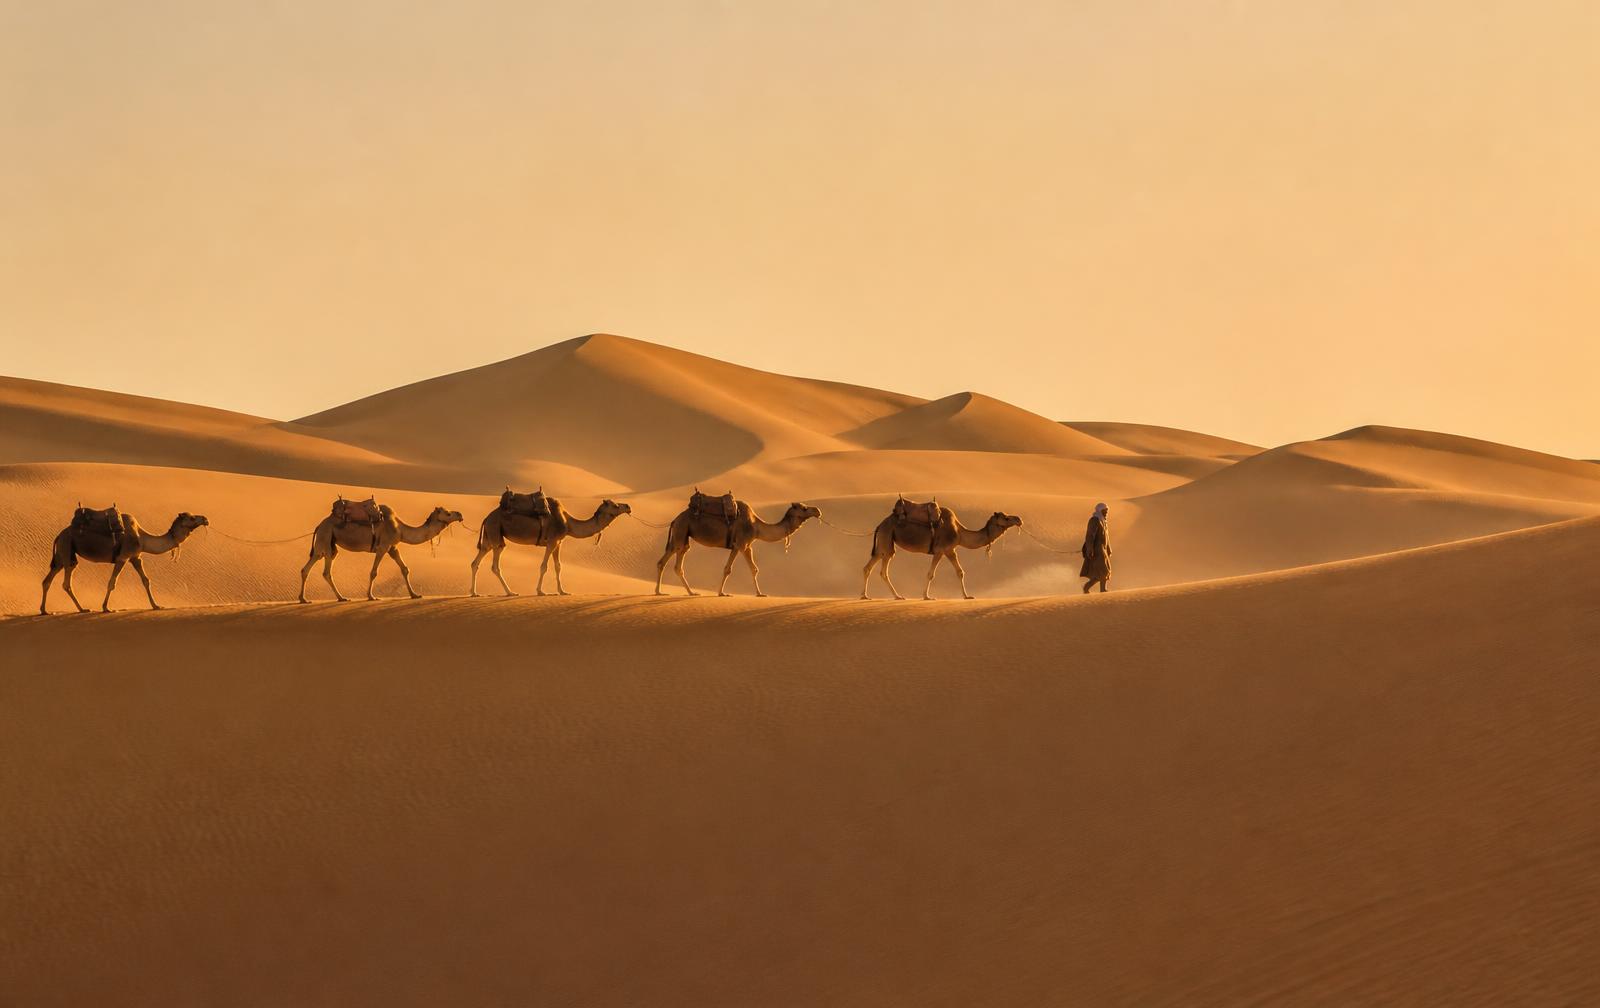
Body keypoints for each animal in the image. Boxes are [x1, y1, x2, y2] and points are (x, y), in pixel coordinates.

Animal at [39, 509, 209, 614]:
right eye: (192, 518)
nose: (205, 518)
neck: (142, 537)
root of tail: (59, 535)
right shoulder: (123, 557)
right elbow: (112, 582)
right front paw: (106, 608)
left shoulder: (135, 557)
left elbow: (146, 580)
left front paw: (156, 606)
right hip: (67, 549)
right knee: (66, 583)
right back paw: (83, 609)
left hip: (62, 555)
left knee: (47, 580)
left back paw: (44, 610)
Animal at [298, 504, 463, 603]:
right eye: (448, 513)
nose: (460, 514)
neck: (400, 528)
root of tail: (319, 525)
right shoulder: (383, 546)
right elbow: (374, 572)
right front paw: (371, 596)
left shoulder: (393, 547)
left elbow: (405, 569)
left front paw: (415, 595)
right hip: (325, 540)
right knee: (325, 571)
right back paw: (341, 597)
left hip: (326, 545)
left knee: (307, 568)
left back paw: (304, 599)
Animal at [470, 498, 632, 597]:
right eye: (615, 505)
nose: (628, 506)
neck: (568, 522)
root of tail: (486, 518)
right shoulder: (552, 541)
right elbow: (544, 566)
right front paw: (540, 591)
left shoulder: (559, 543)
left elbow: (558, 566)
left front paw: (562, 591)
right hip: (496, 533)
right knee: (495, 565)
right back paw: (510, 592)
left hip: (489, 537)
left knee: (476, 561)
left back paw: (474, 593)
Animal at [654, 499, 822, 597]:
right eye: (804, 508)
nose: (817, 510)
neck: (756, 526)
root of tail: (674, 519)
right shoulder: (741, 544)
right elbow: (737, 569)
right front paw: (723, 593)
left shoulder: (742, 546)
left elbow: (747, 569)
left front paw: (758, 593)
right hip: (681, 531)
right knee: (674, 563)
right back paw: (684, 592)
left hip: (681, 535)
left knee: (667, 562)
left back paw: (667, 592)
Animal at [860, 505, 1023, 600]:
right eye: (1006, 517)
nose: (1019, 519)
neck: (959, 533)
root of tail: (879, 525)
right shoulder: (942, 550)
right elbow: (932, 574)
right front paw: (927, 596)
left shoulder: (951, 549)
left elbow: (960, 572)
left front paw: (967, 596)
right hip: (886, 539)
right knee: (882, 569)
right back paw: (896, 596)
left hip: (884, 543)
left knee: (871, 568)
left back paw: (867, 596)